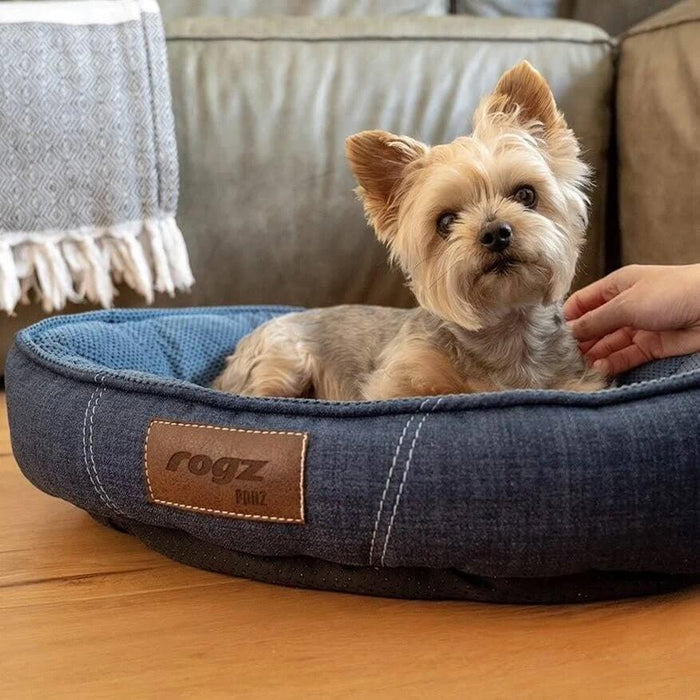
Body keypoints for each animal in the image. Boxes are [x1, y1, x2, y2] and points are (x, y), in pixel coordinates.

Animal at [215, 63, 608, 402]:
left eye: (526, 194)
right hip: (282, 363)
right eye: (445, 221)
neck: (507, 331)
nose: (496, 233)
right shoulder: (397, 380)